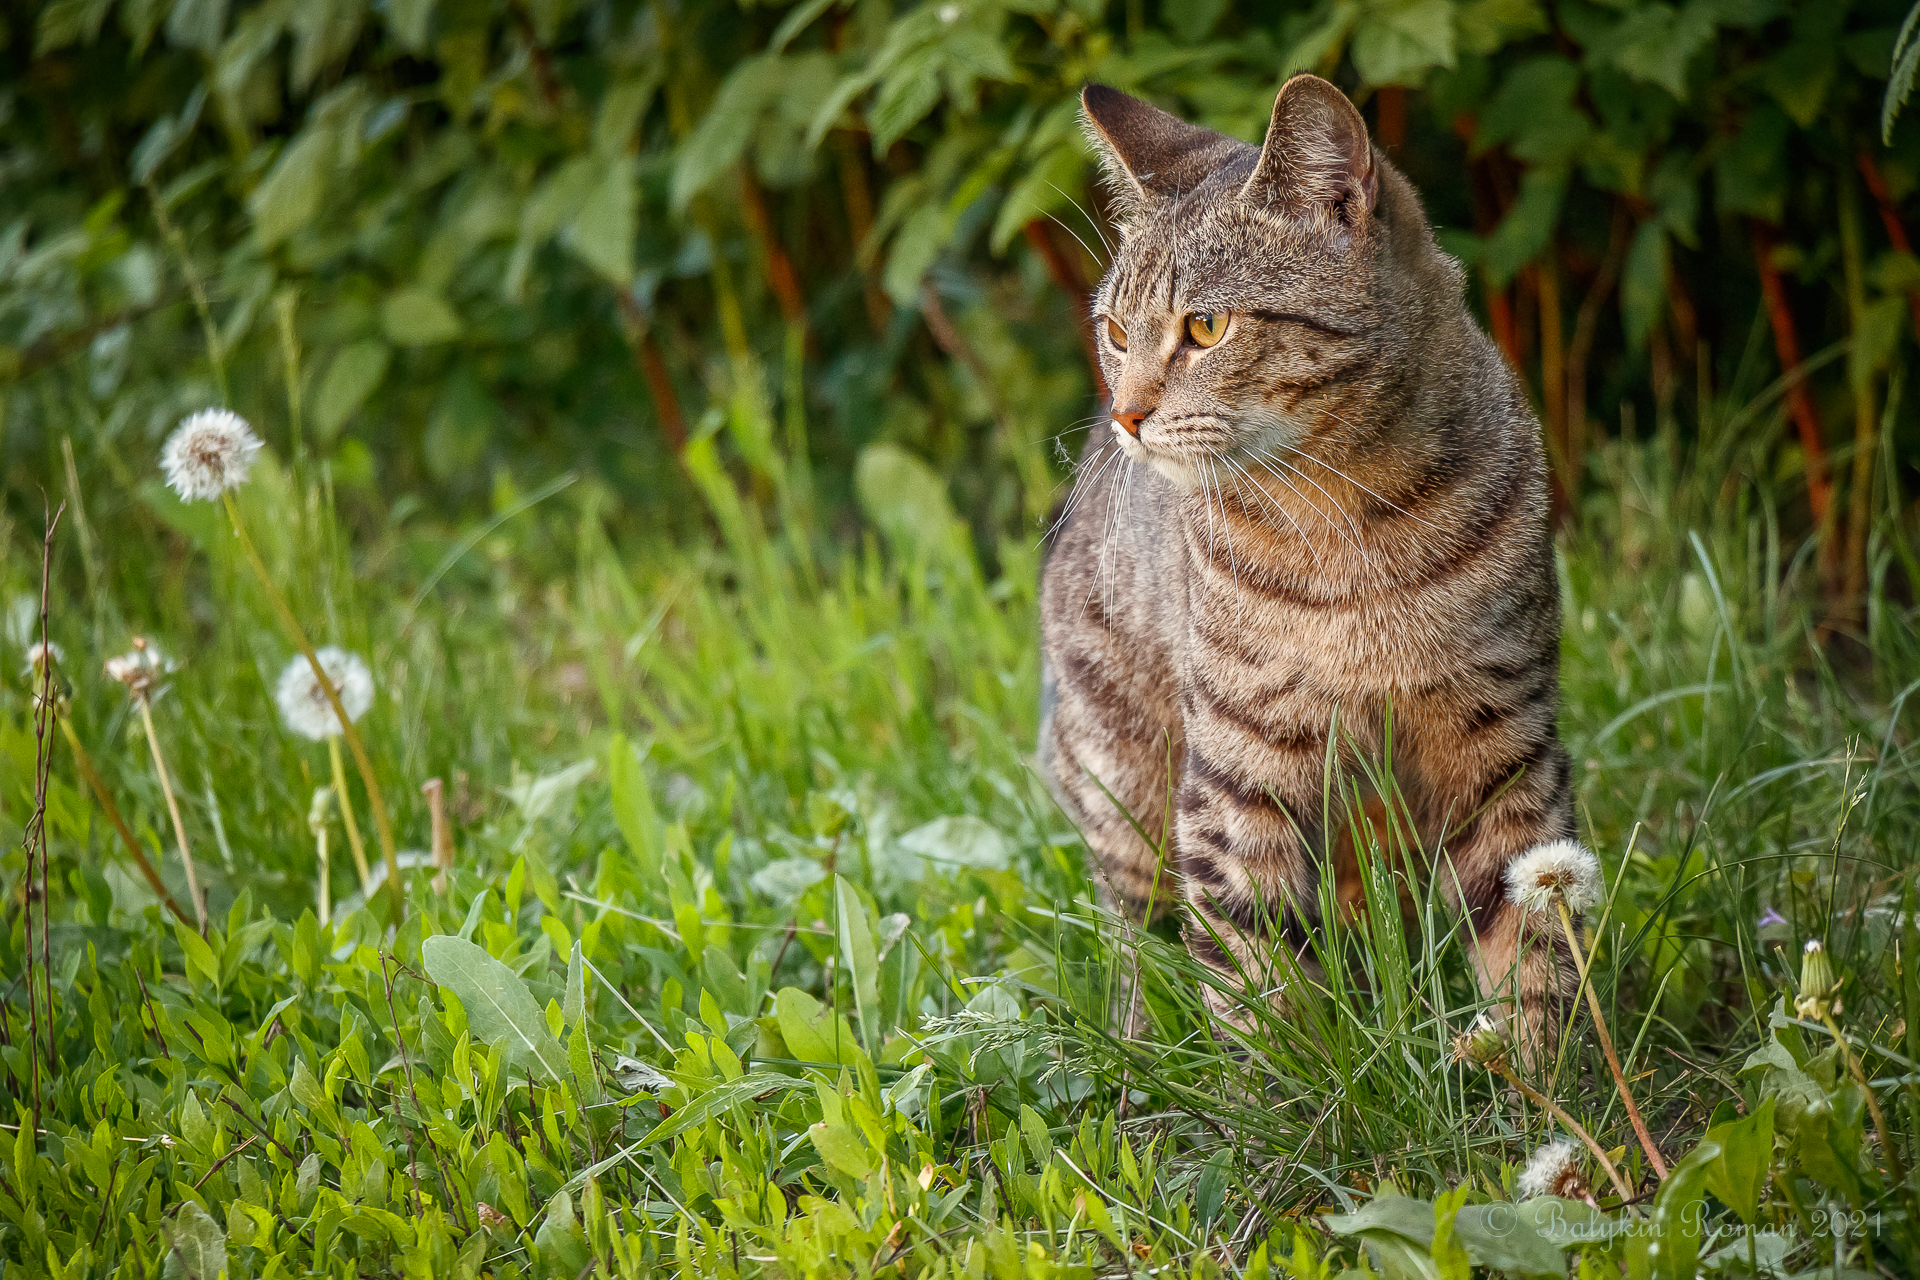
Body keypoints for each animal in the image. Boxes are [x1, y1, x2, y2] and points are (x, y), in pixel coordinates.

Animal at [1052, 72, 1574, 1051]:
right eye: (1114, 331)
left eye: (1205, 326)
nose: (1128, 414)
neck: (1355, 529)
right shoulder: (1237, 770)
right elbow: (1250, 972)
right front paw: (1276, 1078)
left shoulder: (1504, 740)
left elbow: (1534, 937)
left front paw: (1539, 1071)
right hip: (1120, 775)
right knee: (1135, 944)